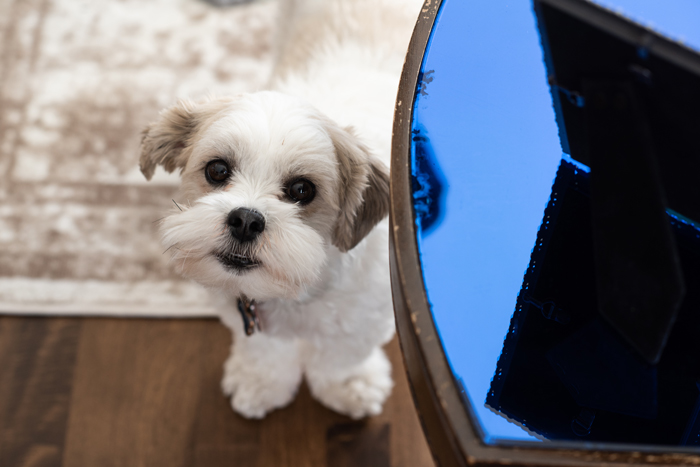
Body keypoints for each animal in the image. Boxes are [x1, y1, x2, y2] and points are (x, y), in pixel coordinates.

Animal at [138, 0, 422, 418]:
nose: (245, 220)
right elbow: (265, 351)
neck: (300, 285)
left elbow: (341, 357)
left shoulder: (365, 318)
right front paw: (261, 382)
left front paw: (348, 384)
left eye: (302, 190)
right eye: (217, 170)